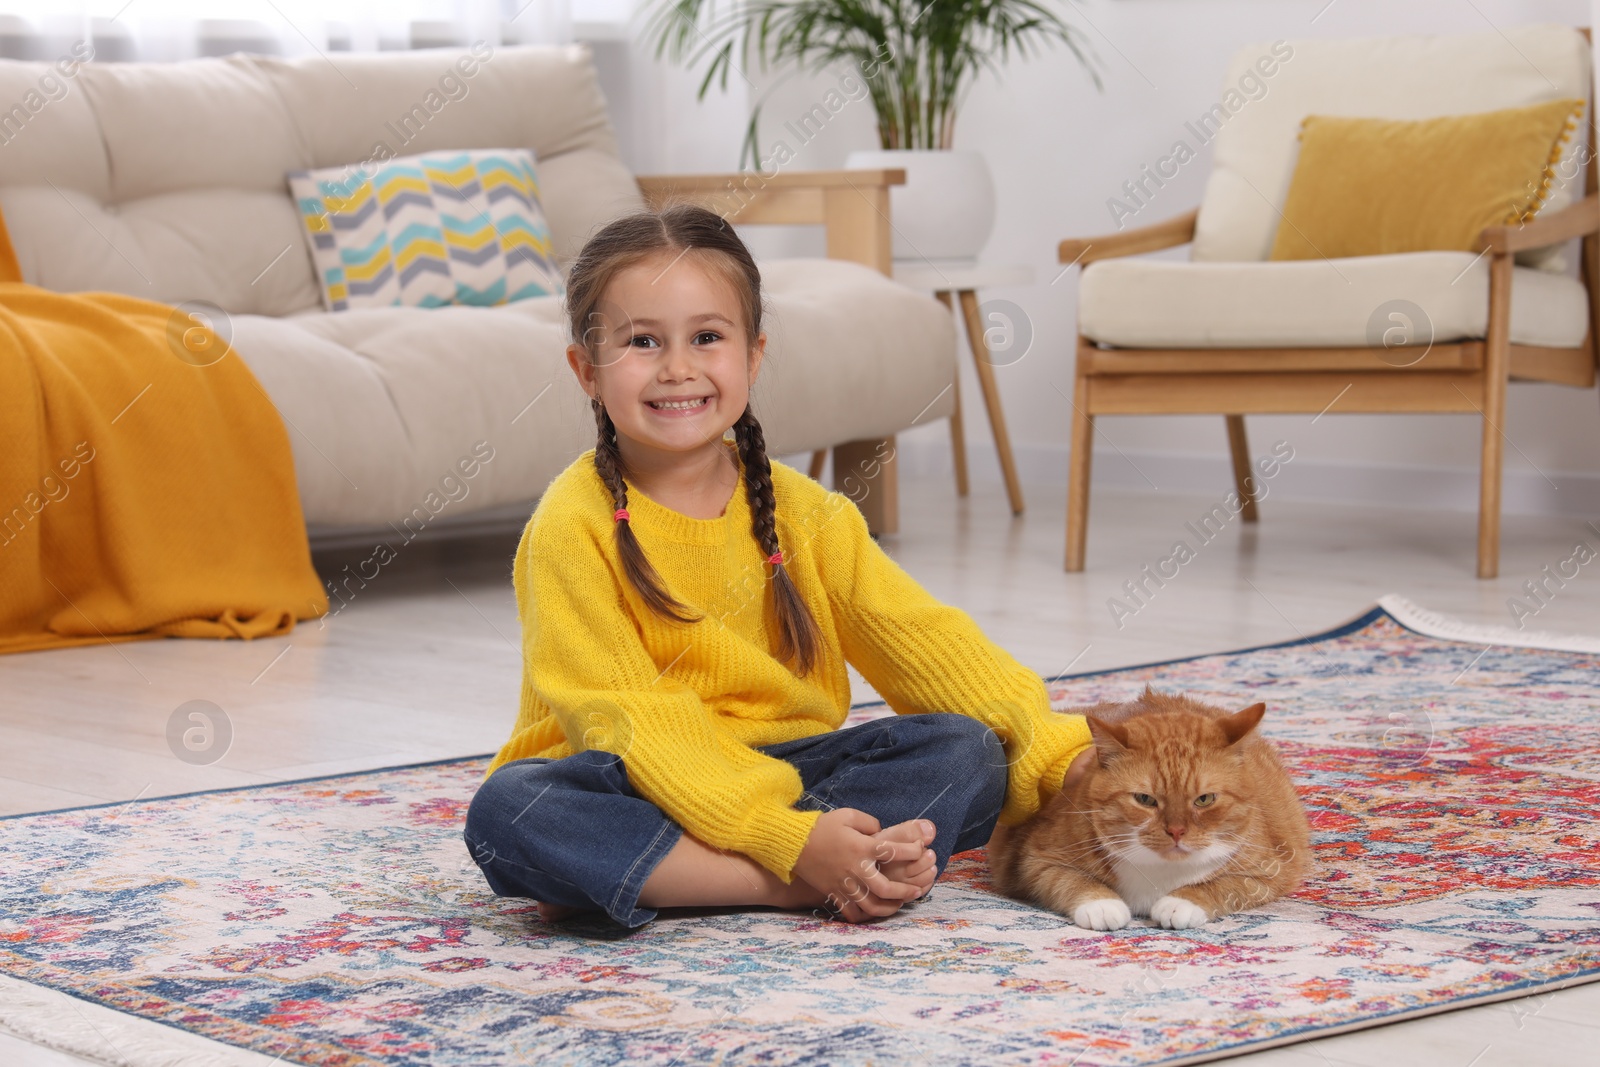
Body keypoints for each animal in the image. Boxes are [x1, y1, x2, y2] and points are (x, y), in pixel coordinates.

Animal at [985, 687, 1312, 927]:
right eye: (1145, 800)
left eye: (1204, 799)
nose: (1177, 831)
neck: (1159, 871)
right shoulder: (1036, 860)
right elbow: (1069, 880)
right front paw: (1101, 904)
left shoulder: (1270, 872)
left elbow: (1223, 886)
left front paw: (1182, 902)